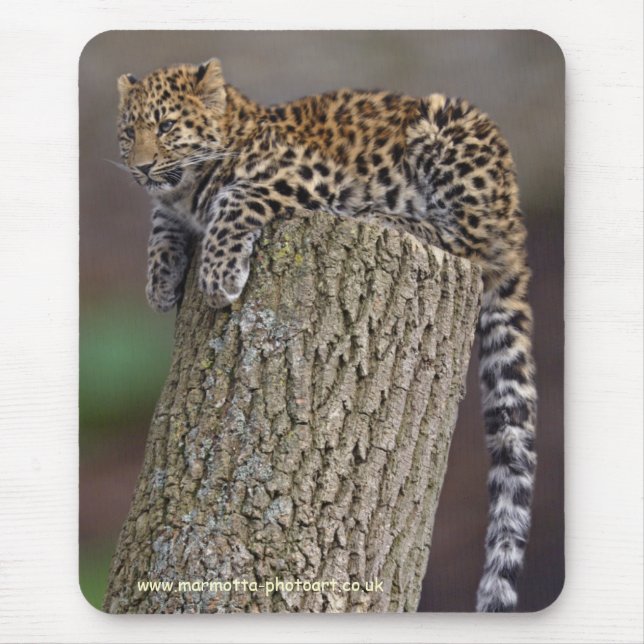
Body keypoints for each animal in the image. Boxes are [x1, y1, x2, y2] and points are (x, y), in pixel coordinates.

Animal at [116, 57, 537, 613]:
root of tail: (515, 215)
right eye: (129, 134)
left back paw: (388, 217)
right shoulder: (171, 205)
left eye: (165, 126)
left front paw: (217, 276)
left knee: (469, 242)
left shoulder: (304, 176)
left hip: (449, 131)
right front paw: (162, 283)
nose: (142, 167)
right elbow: (161, 223)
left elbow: (235, 198)